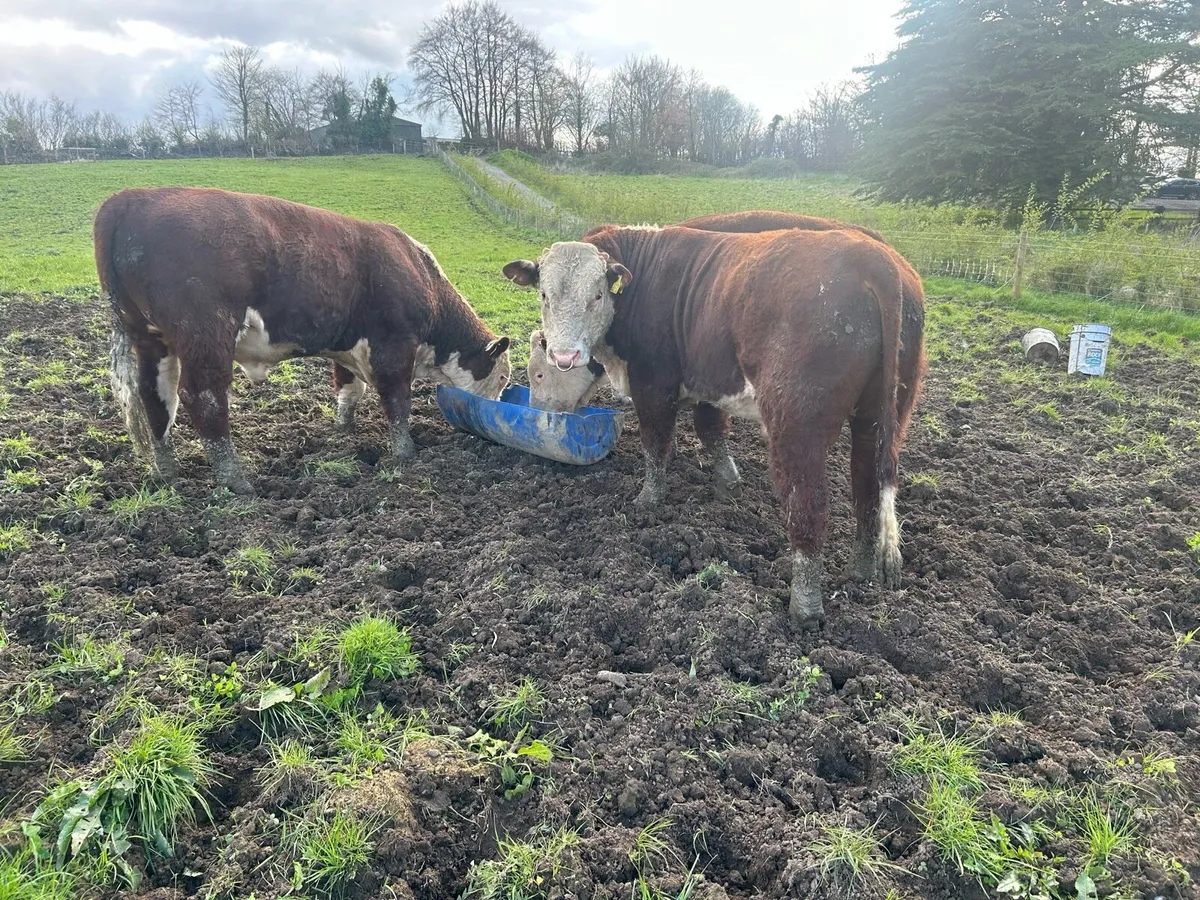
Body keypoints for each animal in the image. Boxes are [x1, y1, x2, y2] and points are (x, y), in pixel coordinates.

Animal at [95, 186, 511, 495]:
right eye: (504, 377)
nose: (496, 407)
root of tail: (132, 197)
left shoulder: (348, 348)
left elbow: (350, 390)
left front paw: (343, 428)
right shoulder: (394, 345)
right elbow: (398, 401)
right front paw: (405, 452)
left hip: (150, 338)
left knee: (155, 397)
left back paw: (166, 470)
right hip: (206, 332)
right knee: (204, 398)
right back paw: (235, 480)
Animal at [504, 224, 926, 627]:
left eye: (596, 295)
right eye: (544, 294)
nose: (564, 356)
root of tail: (872, 257)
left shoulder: (653, 383)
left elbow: (655, 442)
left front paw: (648, 501)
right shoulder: (707, 381)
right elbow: (710, 430)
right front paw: (728, 485)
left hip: (797, 425)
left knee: (809, 504)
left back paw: (805, 607)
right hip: (878, 417)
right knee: (867, 488)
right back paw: (861, 570)